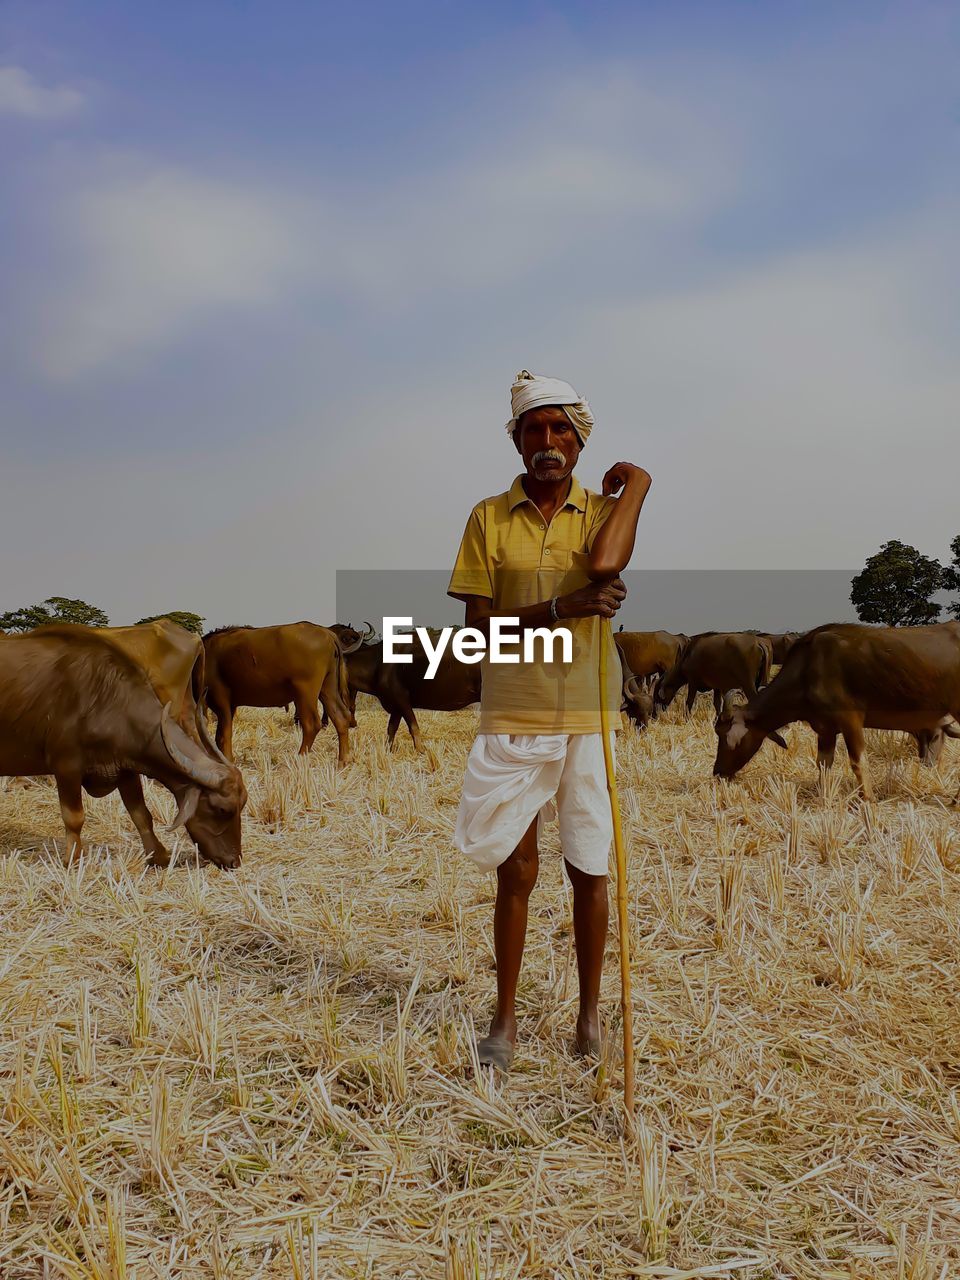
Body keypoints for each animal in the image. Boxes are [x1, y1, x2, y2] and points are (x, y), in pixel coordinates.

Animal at [0, 622, 248, 865]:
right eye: (222, 809)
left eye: (242, 804)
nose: (234, 861)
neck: (101, 698)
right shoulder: (66, 767)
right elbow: (74, 818)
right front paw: (73, 859)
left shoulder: (125, 768)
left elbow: (141, 813)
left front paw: (158, 855)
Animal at [203, 624, 358, 762]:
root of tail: (329, 635)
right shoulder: (229, 704)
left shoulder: (220, 700)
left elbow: (223, 734)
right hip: (328, 688)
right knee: (340, 717)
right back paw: (343, 760)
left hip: (305, 694)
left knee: (312, 724)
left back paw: (300, 757)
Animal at [716, 622, 960, 798]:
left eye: (724, 735)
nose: (717, 771)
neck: (808, 669)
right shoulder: (826, 729)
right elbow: (823, 763)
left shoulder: (850, 721)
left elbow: (858, 763)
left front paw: (868, 801)